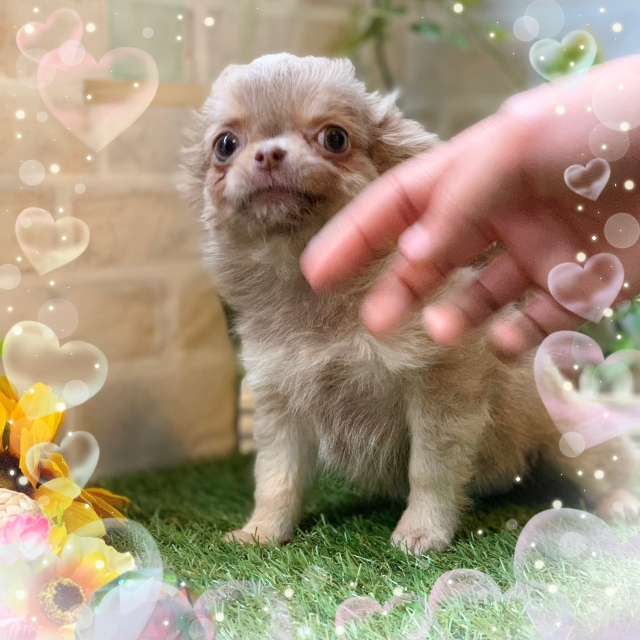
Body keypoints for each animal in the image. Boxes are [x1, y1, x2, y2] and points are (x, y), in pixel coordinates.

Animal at [181, 53, 639, 554]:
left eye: (334, 138)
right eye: (226, 145)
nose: (267, 153)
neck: (313, 293)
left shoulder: (439, 390)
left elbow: (429, 469)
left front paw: (422, 530)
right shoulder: (280, 405)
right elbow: (276, 477)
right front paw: (261, 531)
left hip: (572, 435)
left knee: (608, 467)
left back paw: (620, 504)